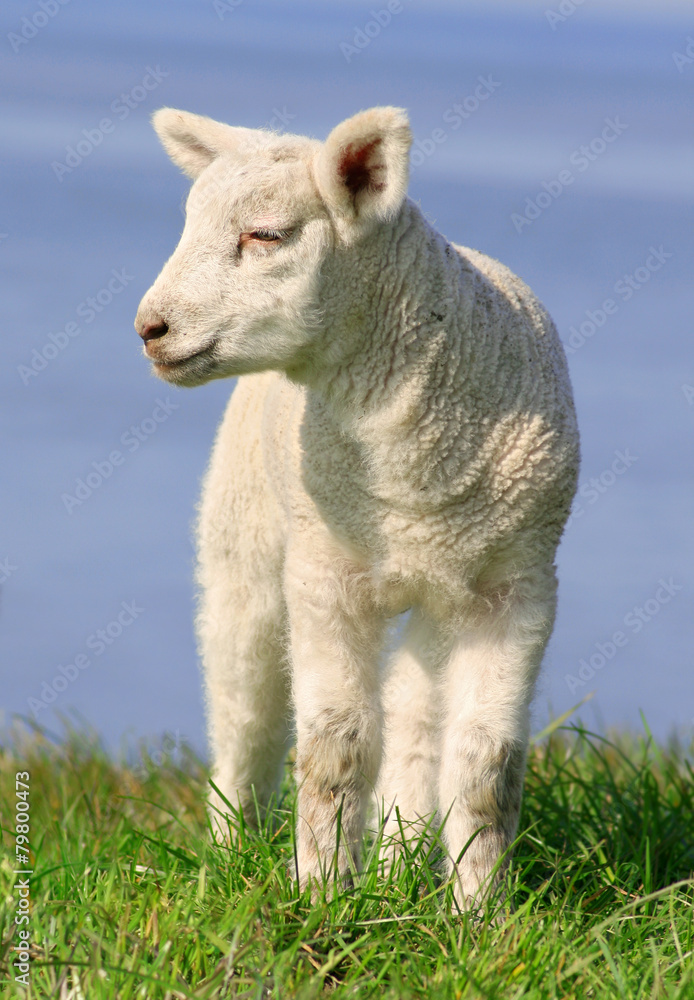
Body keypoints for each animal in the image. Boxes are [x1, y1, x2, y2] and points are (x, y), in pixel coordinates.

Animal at [134, 105, 579, 910]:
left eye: (265, 235)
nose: (150, 328)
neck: (414, 474)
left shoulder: (519, 585)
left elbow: (485, 762)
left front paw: (483, 913)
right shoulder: (325, 571)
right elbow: (335, 745)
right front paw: (320, 897)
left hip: (441, 594)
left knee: (413, 711)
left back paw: (399, 867)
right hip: (244, 539)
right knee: (244, 706)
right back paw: (230, 850)